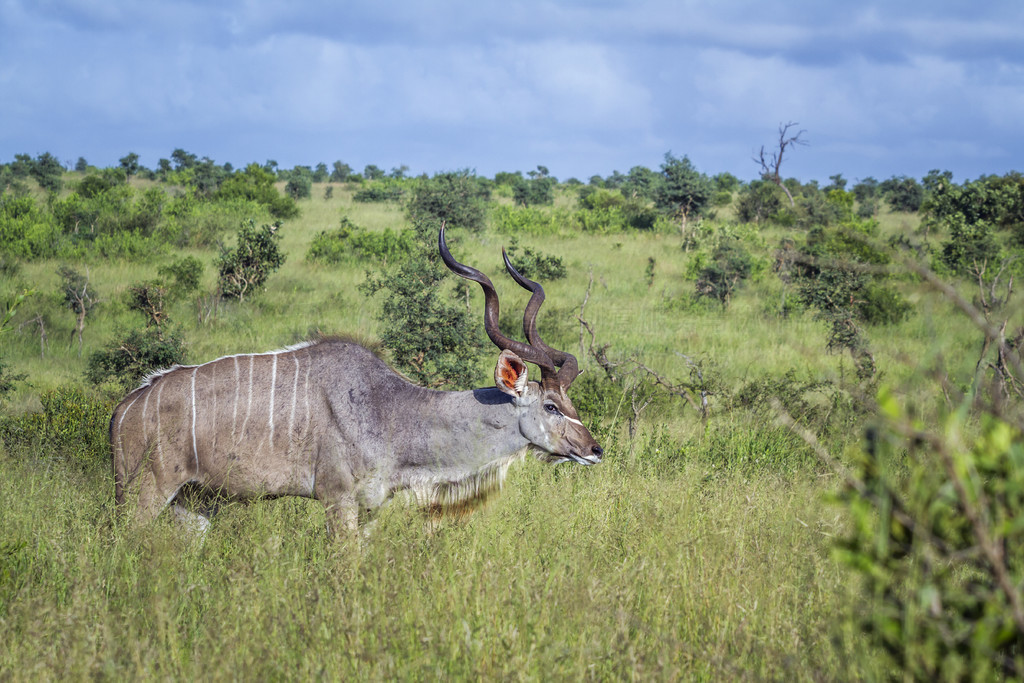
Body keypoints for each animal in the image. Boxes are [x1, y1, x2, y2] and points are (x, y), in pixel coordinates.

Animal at [113, 227, 602, 536]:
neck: (393, 412)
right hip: (144, 496)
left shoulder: (370, 508)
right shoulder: (338, 502)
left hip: (192, 506)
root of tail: (123, 411)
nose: (595, 450)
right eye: (551, 406)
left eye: (571, 402)